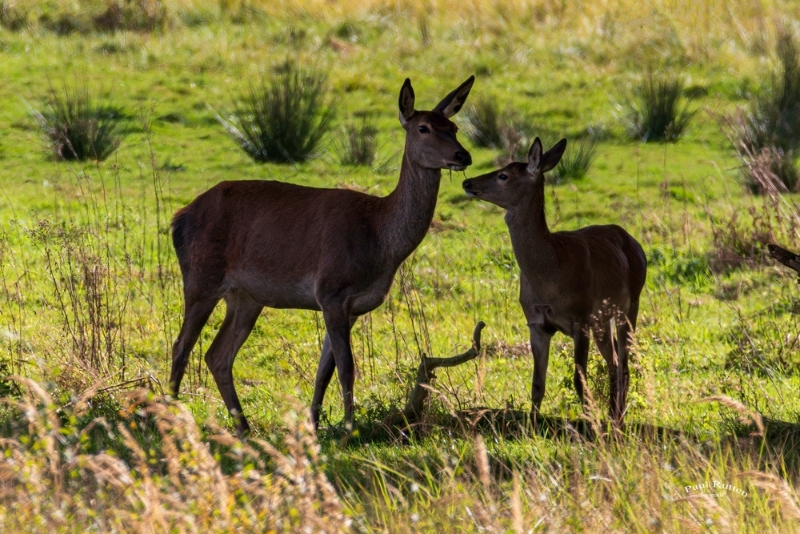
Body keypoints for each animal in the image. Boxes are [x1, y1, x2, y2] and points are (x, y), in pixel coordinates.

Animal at [166, 76, 472, 436]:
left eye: (453, 126)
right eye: (424, 128)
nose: (463, 155)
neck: (379, 239)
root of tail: (178, 218)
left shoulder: (350, 307)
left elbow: (324, 371)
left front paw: (314, 425)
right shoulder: (331, 289)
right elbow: (347, 368)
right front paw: (349, 428)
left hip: (245, 297)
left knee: (217, 355)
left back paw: (243, 427)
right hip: (201, 277)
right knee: (181, 346)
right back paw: (170, 416)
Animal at [462, 138, 644, 428]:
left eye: (504, 175)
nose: (468, 182)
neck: (550, 275)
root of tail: (636, 245)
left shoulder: (580, 318)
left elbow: (579, 379)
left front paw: (590, 425)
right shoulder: (536, 323)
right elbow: (537, 384)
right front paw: (532, 427)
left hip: (630, 305)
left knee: (624, 363)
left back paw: (617, 419)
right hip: (602, 319)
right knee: (614, 361)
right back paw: (613, 414)